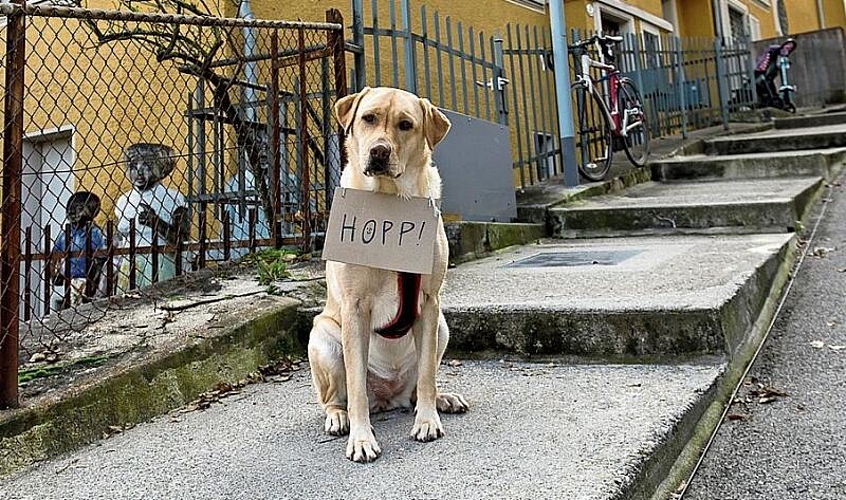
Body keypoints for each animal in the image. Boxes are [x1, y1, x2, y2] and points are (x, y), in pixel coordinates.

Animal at [310, 87, 470, 464]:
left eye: (406, 125)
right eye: (368, 118)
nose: (380, 152)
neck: (390, 201)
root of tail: (388, 397)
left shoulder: (429, 303)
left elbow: (426, 376)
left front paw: (427, 420)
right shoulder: (354, 308)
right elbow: (356, 388)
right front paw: (361, 438)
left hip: (442, 327)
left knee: (419, 385)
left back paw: (441, 399)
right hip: (322, 339)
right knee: (335, 398)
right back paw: (339, 418)